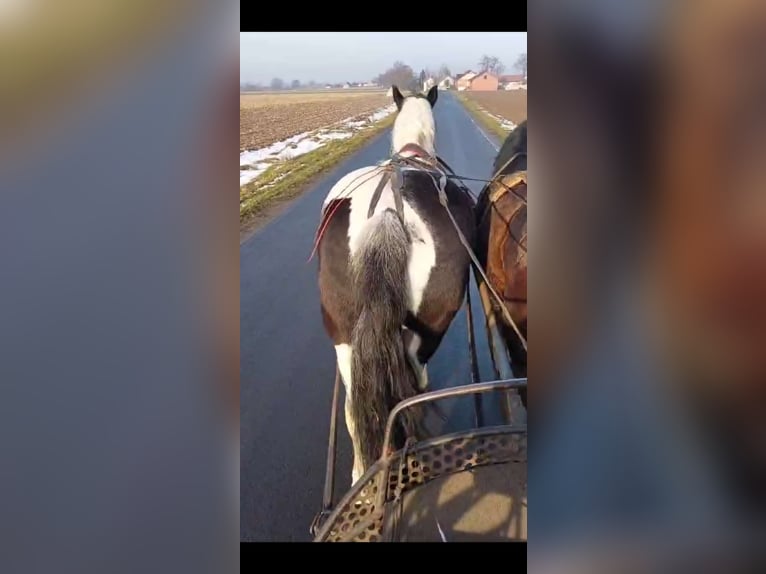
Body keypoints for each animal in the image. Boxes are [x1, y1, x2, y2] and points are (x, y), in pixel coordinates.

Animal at [315, 85, 476, 483]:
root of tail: (388, 209)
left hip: (345, 335)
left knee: (356, 408)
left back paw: (363, 471)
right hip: (431, 327)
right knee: (412, 388)